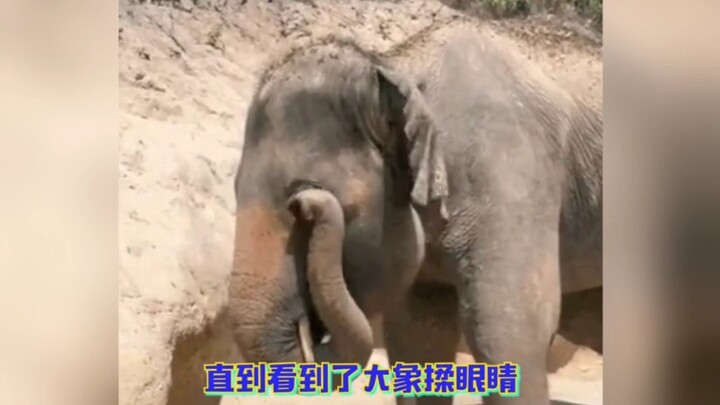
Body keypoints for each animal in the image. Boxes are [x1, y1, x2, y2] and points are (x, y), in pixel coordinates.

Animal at [228, 29, 602, 405]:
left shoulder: (510, 175)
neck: (394, 67)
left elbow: (505, 334)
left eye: (304, 195)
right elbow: (420, 339)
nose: (306, 202)